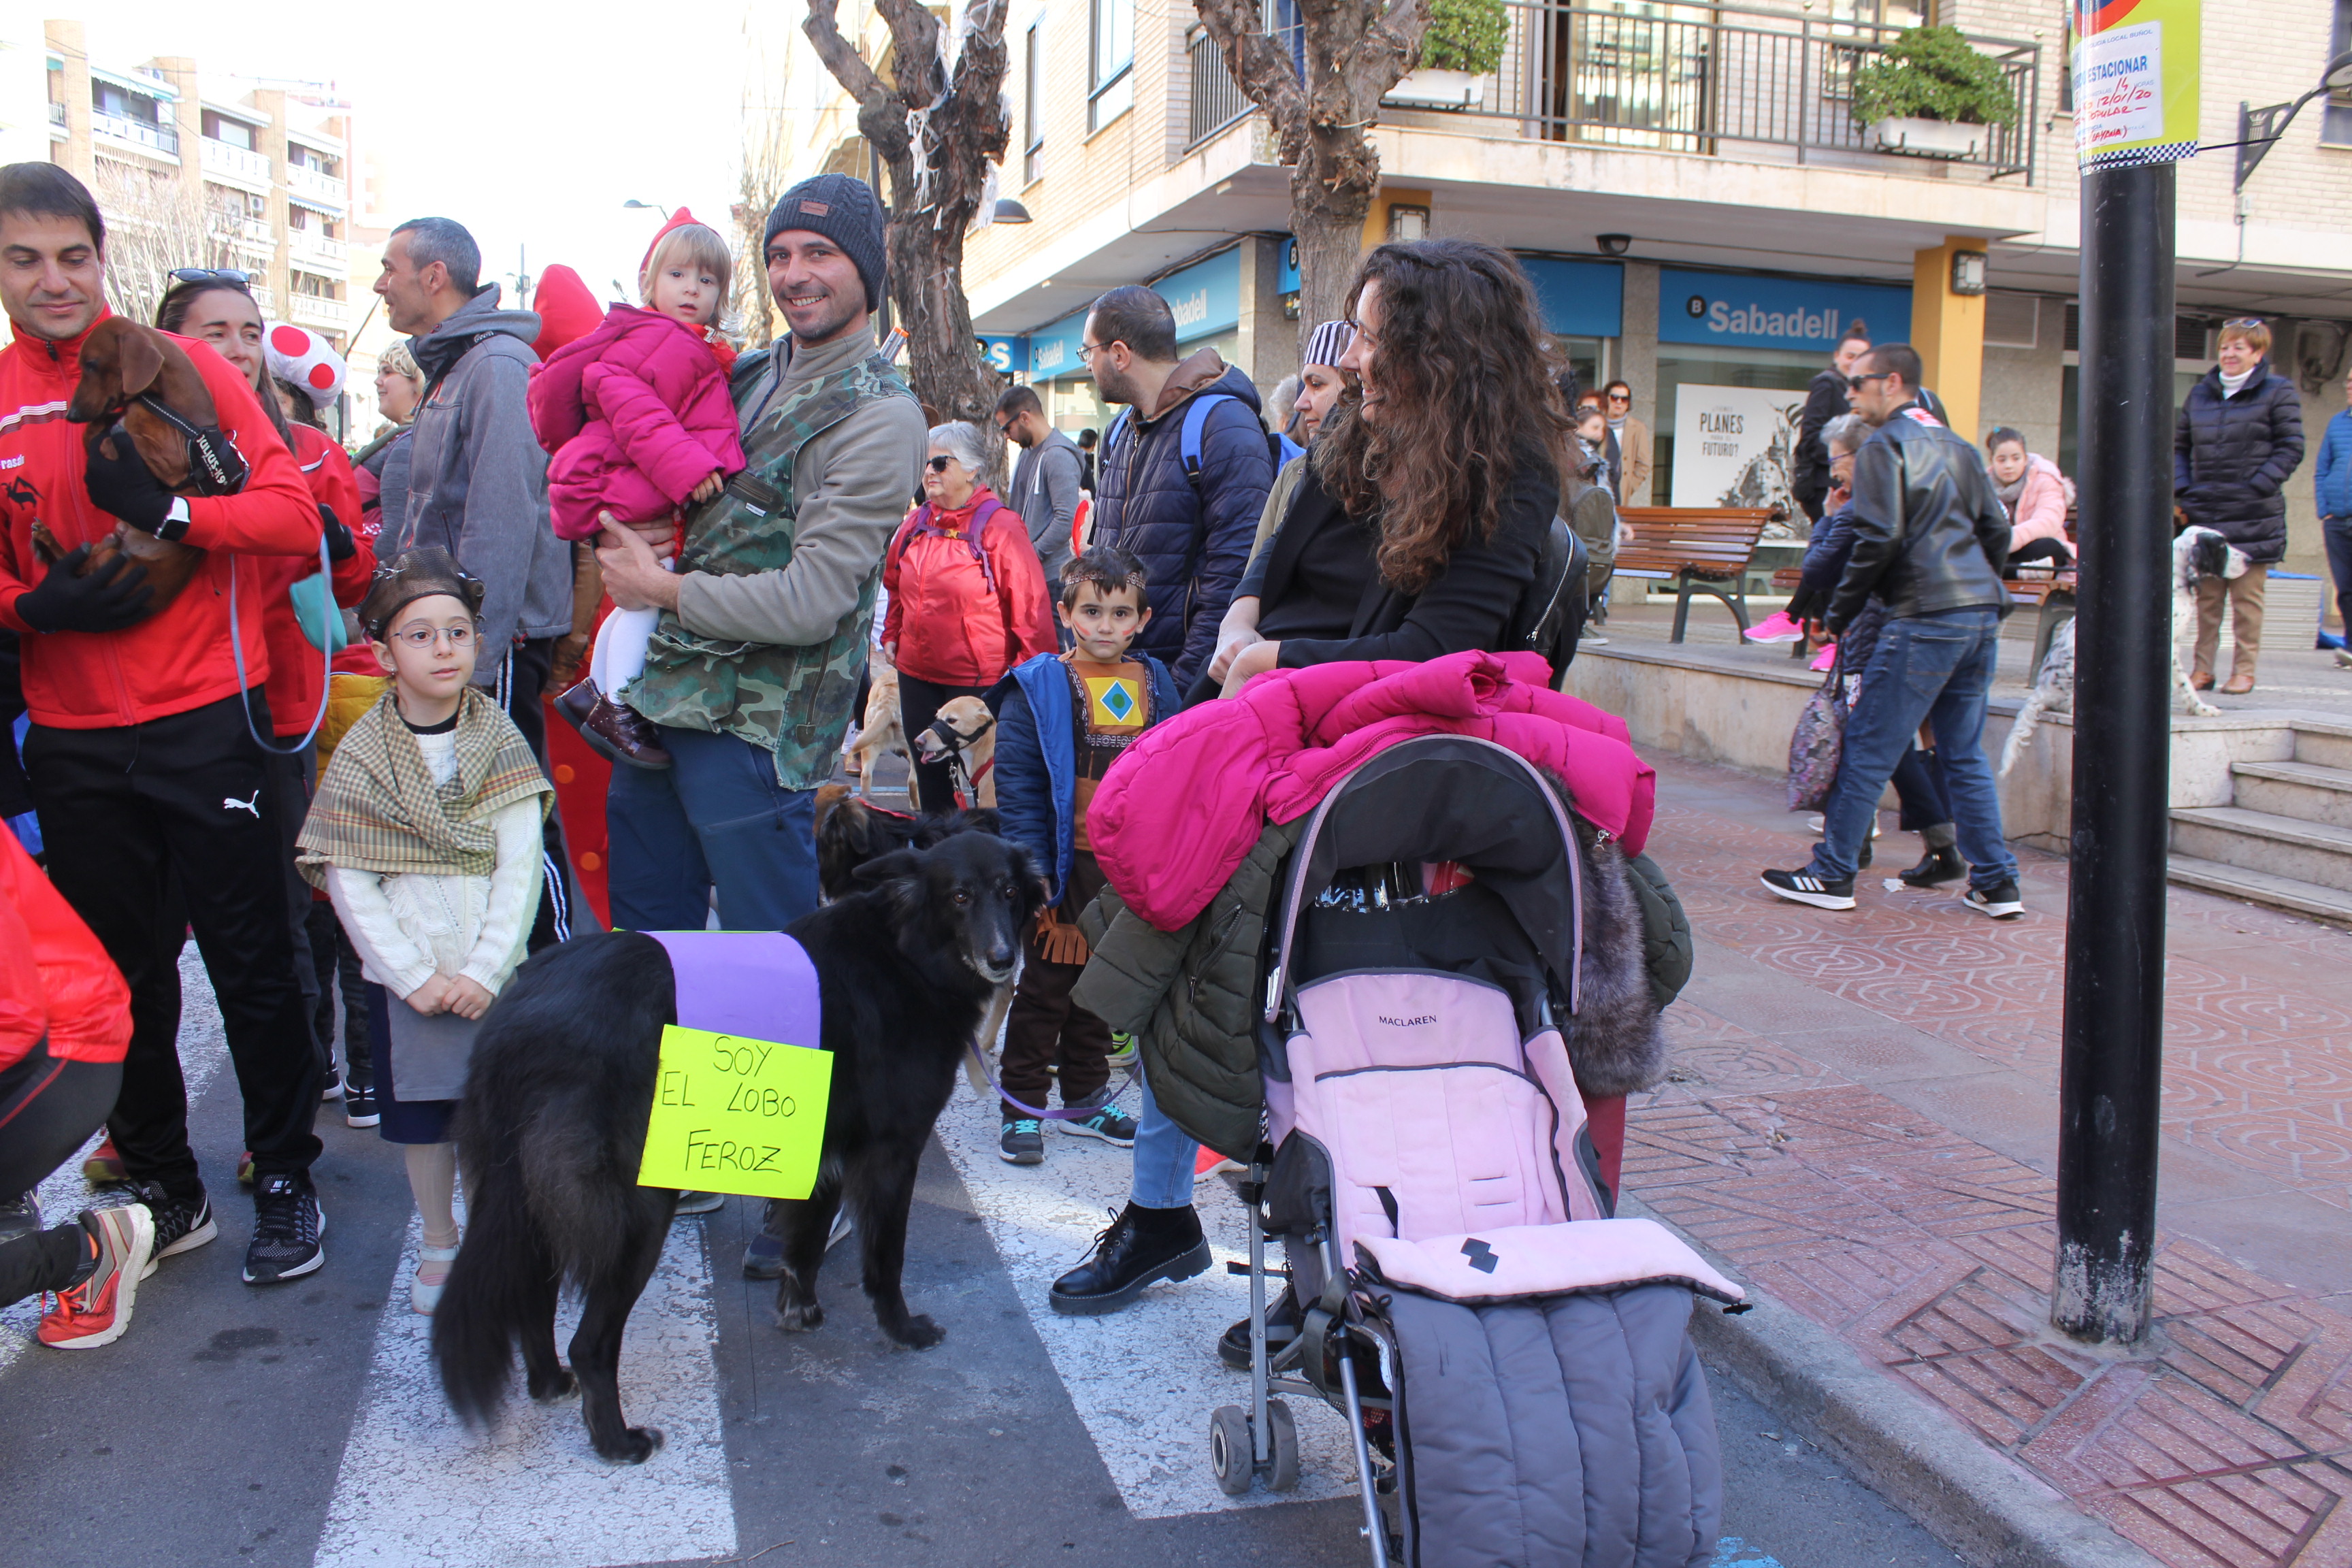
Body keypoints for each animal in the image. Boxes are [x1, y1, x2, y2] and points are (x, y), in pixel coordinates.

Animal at [30, 318, 222, 619]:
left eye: (91, 364)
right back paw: (46, 540)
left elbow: (113, 439)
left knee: (83, 571)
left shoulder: (171, 463)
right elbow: (96, 431)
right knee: (75, 567)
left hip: (114, 561)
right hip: (105, 549)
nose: (71, 415)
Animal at [433, 830, 1048, 1463]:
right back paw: (616, 1440)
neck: (904, 954)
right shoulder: (890, 1153)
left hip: (531, 1199)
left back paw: (550, 1382)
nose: (1005, 959)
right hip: (637, 1211)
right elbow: (884, 1259)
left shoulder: (821, 1148)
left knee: (533, 1295)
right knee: (588, 1341)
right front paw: (901, 1329)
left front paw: (800, 1308)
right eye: (958, 897)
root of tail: (520, 1012)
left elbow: (805, 1238)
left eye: (1008, 892)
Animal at [2000, 527, 2239, 776]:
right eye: (2222, 545)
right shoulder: (2171, 649)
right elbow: (2186, 684)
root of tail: (2041, 690)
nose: (2249, 559)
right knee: (2068, 705)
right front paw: (2202, 708)